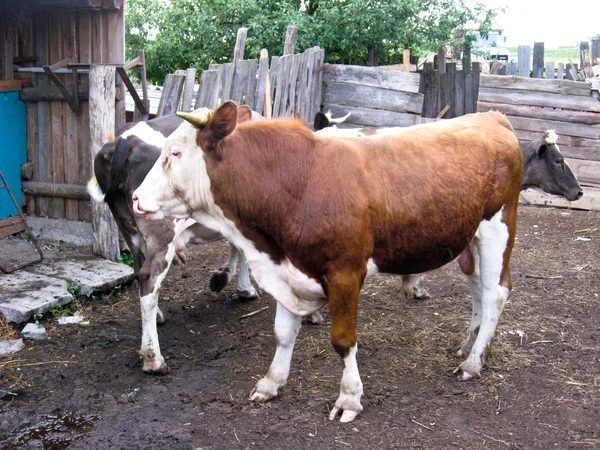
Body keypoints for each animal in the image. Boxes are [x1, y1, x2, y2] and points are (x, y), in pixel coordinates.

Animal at [130, 102, 520, 422]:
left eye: (175, 153)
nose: (135, 197)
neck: (298, 185)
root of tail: (490, 117)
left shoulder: (345, 273)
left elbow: (343, 340)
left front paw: (349, 398)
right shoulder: (288, 270)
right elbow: (282, 334)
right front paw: (271, 382)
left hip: (498, 228)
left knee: (496, 292)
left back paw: (474, 361)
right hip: (469, 238)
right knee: (478, 289)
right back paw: (470, 347)